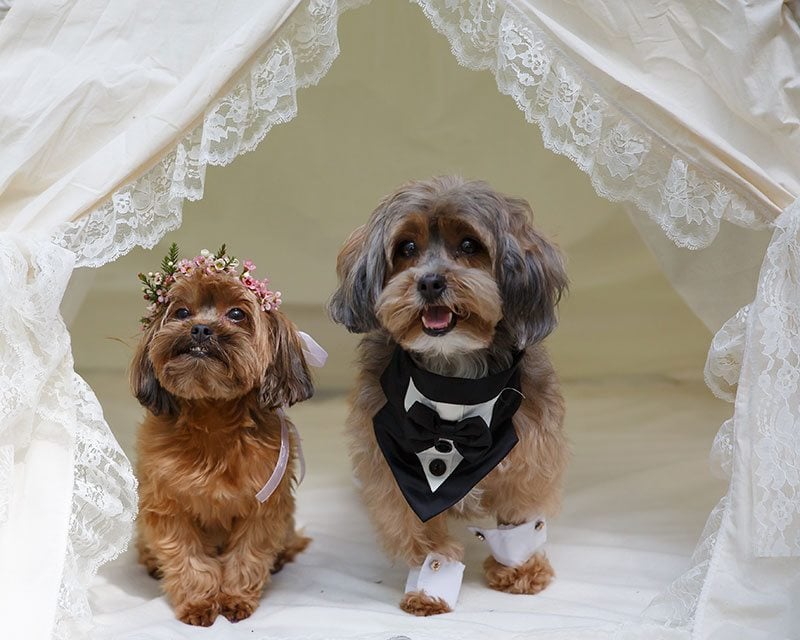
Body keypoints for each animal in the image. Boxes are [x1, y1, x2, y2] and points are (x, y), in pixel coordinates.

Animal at [131, 250, 312, 624]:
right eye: (182, 312)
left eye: (237, 314)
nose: (200, 328)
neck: (213, 422)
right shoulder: (167, 509)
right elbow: (187, 559)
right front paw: (199, 602)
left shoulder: (263, 509)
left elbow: (247, 556)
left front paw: (234, 598)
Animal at [326, 178, 568, 616]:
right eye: (406, 248)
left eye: (469, 245)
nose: (429, 282)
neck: (450, 376)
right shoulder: (394, 468)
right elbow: (421, 535)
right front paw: (428, 591)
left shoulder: (530, 450)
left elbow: (521, 516)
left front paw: (520, 570)